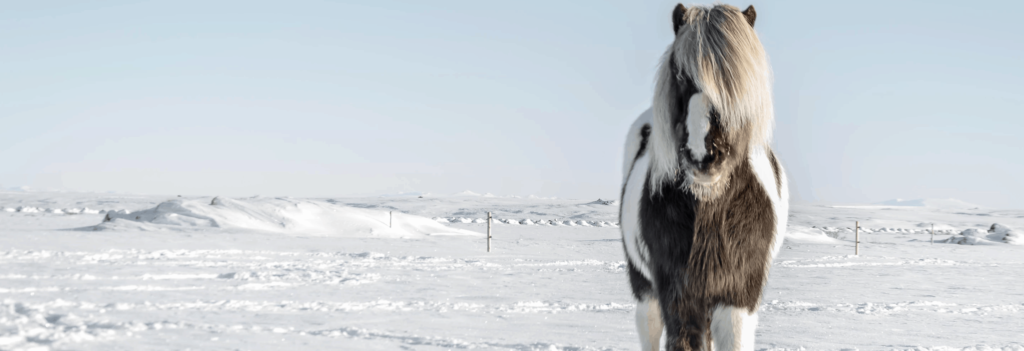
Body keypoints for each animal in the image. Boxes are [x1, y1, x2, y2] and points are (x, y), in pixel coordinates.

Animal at [618, 3, 786, 351]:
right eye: (680, 74)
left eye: (737, 81)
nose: (703, 156)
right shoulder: (679, 295)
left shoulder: (738, 299)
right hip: (644, 286)